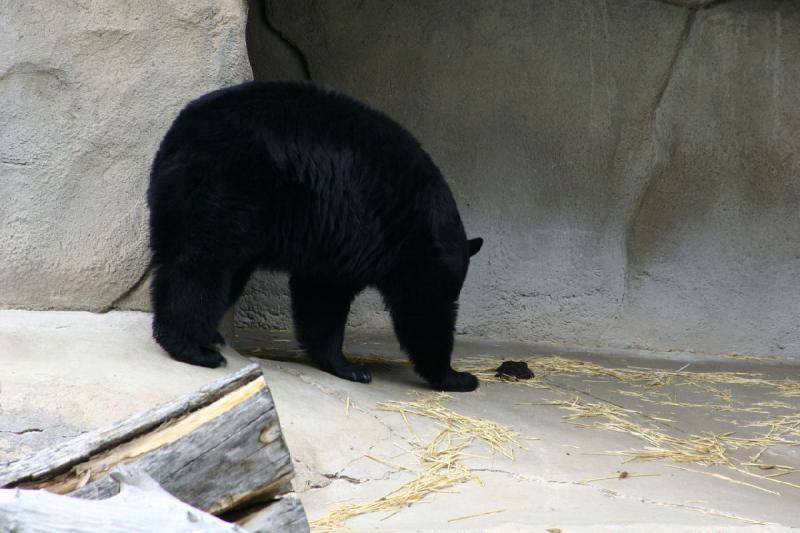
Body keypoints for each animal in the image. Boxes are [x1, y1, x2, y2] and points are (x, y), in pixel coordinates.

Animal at [148, 81, 484, 392]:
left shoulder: (338, 240)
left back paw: (209, 335)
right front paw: (457, 376)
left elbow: (319, 295)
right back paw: (192, 347)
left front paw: (343, 365)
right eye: (456, 283)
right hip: (229, 183)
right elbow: (423, 308)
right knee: (202, 263)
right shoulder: (394, 240)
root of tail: (183, 132)